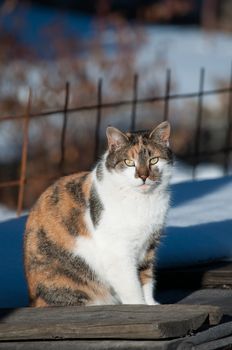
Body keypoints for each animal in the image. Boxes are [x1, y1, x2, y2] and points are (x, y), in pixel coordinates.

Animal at [24, 120, 172, 306]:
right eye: (129, 162)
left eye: (154, 160)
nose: (143, 176)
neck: (143, 201)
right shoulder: (117, 253)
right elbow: (132, 288)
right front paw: (140, 306)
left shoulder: (149, 246)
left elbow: (146, 279)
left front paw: (152, 305)